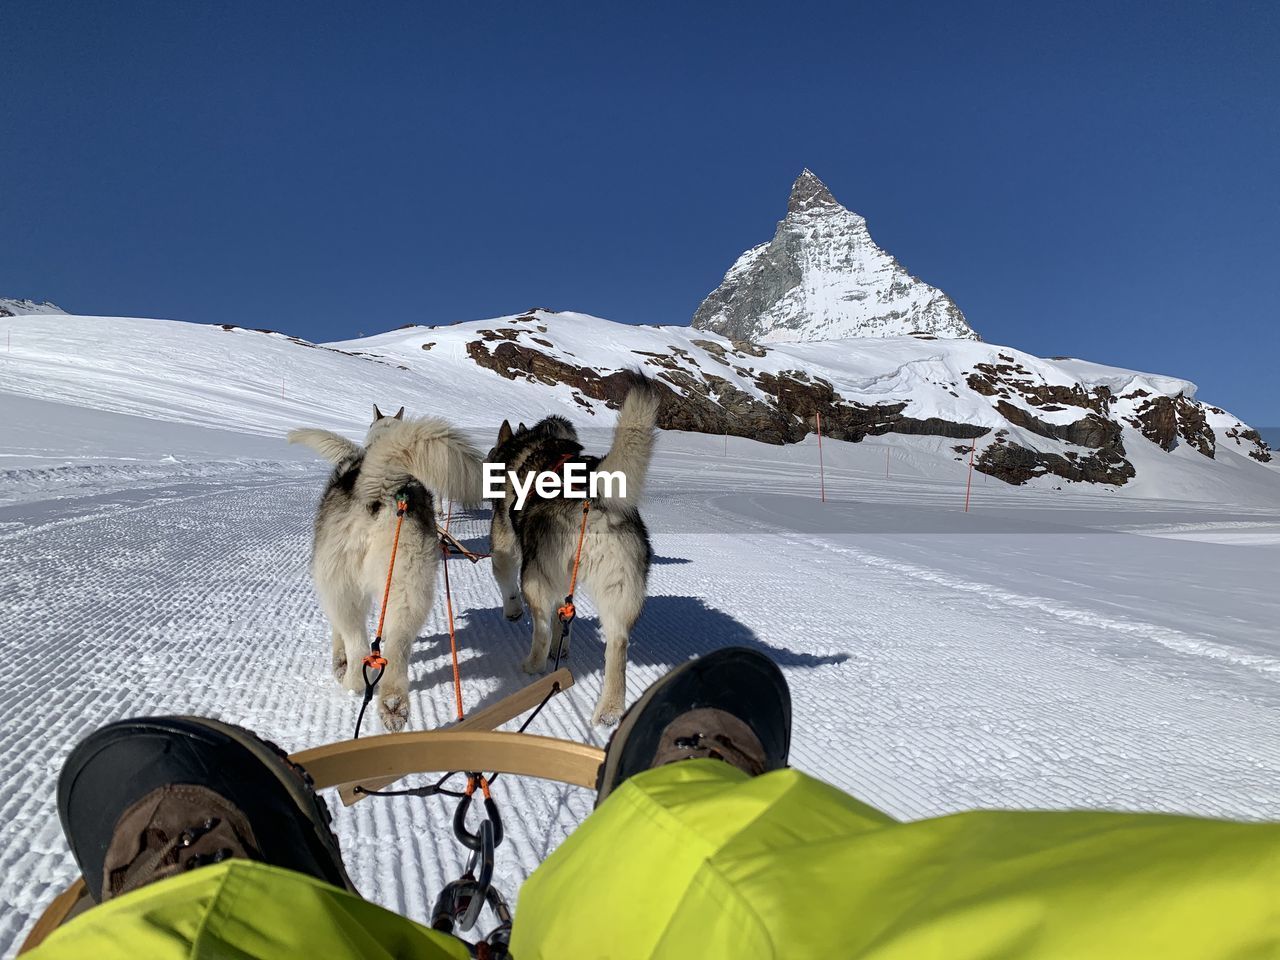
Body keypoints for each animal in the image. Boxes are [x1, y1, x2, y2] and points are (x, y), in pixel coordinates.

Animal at [288, 404, 481, 727]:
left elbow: (338, 638)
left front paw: (338, 661)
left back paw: (353, 681)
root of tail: (380, 488)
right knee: (396, 647)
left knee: (356, 645)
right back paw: (393, 702)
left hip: (342, 589)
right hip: (408, 585)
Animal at [488, 378, 660, 727]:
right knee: (617, 643)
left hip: (535, 577)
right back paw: (609, 710)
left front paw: (512, 613)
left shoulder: (504, 549)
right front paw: (562, 646)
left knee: (540, 628)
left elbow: (506, 583)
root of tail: (593, 496)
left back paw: (533, 665)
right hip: (618, 589)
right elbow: (561, 619)